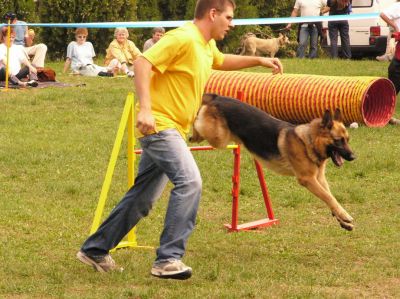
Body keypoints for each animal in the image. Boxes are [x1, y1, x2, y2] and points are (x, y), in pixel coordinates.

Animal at [191, 94, 356, 232]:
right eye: (338, 141)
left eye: (347, 140)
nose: (354, 157)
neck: (308, 141)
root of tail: (217, 97)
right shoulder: (308, 180)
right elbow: (328, 197)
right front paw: (345, 216)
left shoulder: (320, 178)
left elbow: (330, 197)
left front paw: (342, 220)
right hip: (218, 138)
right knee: (197, 122)